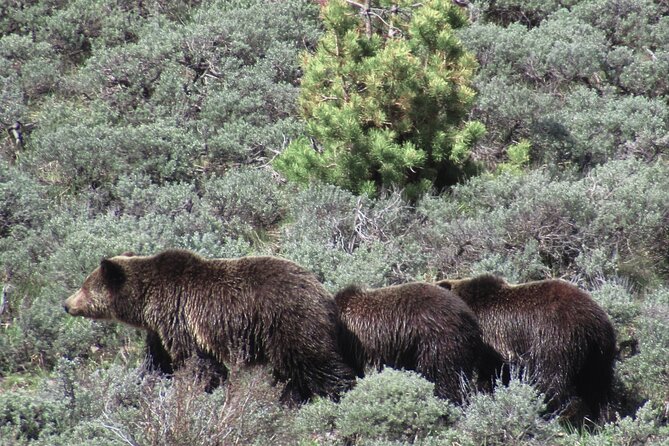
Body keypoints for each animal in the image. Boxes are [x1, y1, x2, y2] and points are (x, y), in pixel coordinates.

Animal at [62, 249, 354, 402]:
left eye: (84, 287)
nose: (66, 304)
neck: (147, 302)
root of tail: (325, 295)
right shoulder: (161, 330)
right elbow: (157, 361)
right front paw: (143, 382)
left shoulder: (181, 318)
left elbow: (198, 362)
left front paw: (200, 389)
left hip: (288, 322)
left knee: (315, 363)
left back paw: (339, 392)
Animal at [434, 274, 616, 420]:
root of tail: (592, 324)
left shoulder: (492, 341)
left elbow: (491, 374)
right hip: (599, 352)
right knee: (599, 389)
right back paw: (603, 419)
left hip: (556, 338)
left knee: (552, 379)